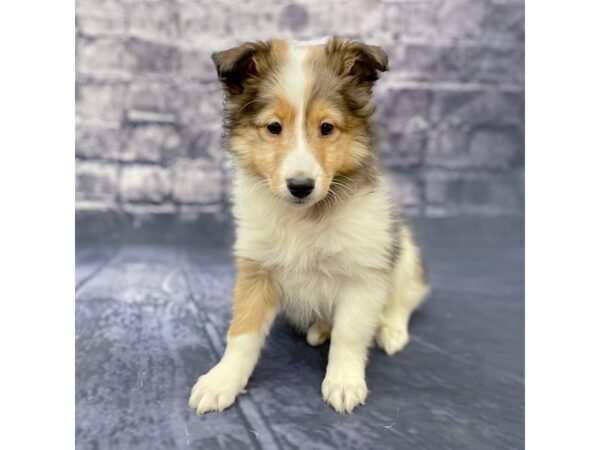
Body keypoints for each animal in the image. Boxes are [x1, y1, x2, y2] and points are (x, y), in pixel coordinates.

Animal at [190, 37, 428, 414]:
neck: (302, 217)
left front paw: (344, 383)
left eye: (326, 128)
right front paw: (221, 381)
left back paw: (390, 331)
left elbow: (349, 334)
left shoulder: (364, 274)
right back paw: (319, 329)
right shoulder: (256, 268)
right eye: (274, 127)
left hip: (402, 254)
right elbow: (242, 332)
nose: (300, 186)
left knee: (405, 299)